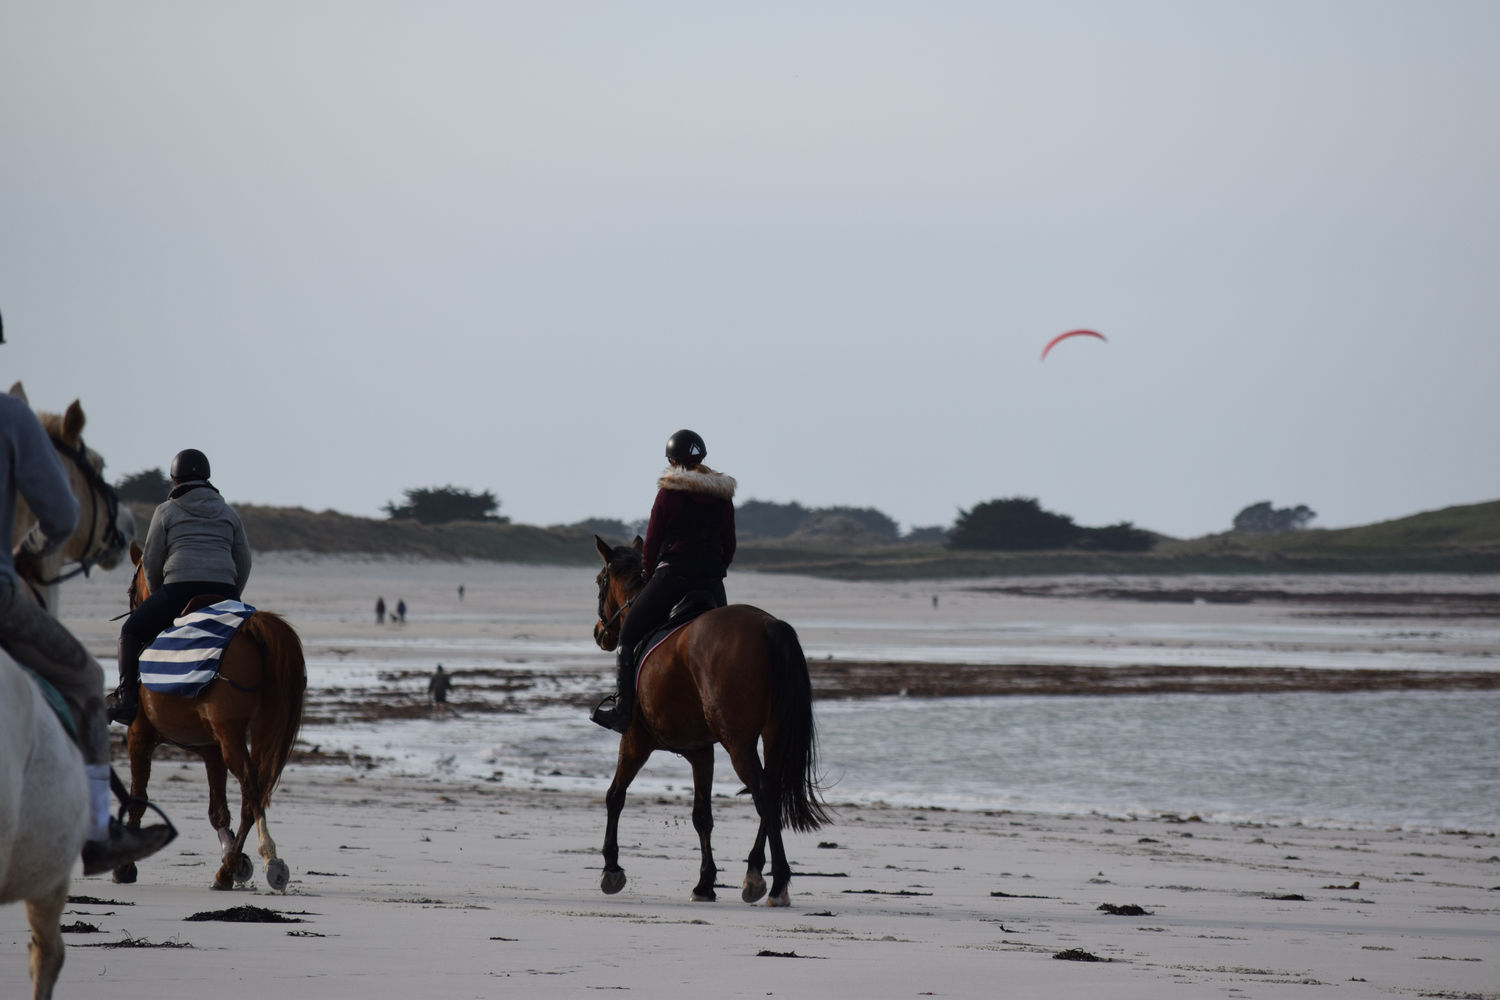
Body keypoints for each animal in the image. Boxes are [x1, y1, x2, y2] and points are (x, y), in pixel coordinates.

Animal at [118, 539, 306, 893]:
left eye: (131, 589)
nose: (134, 605)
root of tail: (252, 627)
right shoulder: (210, 750)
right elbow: (218, 811)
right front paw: (236, 859)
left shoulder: (139, 733)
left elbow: (138, 797)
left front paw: (125, 866)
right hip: (260, 730)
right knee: (252, 794)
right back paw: (229, 868)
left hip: (231, 734)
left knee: (251, 786)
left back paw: (268, 859)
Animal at [591, 539, 834, 905]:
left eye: (599, 581)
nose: (599, 633)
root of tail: (768, 625)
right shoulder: (701, 751)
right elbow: (702, 816)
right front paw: (705, 883)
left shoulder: (634, 740)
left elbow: (615, 796)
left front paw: (611, 869)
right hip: (773, 734)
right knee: (772, 791)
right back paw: (754, 873)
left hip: (738, 742)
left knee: (764, 793)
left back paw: (777, 883)